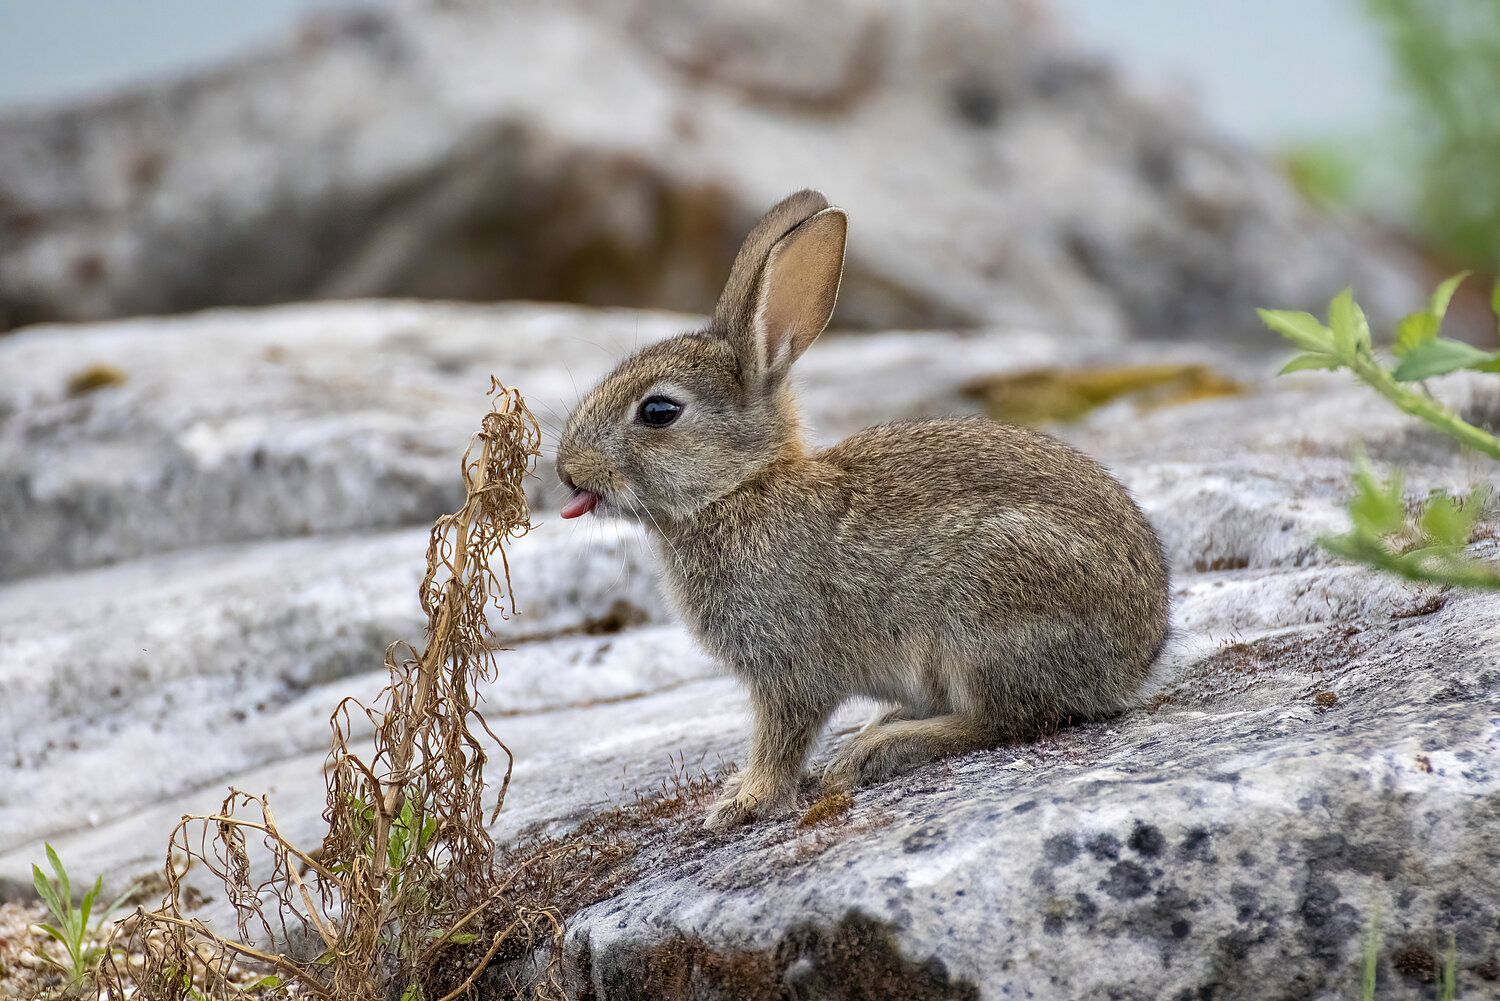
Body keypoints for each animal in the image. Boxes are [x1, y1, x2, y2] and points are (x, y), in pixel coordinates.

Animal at [555, 187, 1170, 828]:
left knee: (1009, 719)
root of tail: (1136, 662)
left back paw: (879, 749)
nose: (566, 469)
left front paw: (743, 802)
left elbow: (782, 738)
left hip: (986, 614)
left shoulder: (790, 666)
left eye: (658, 412)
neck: (741, 488)